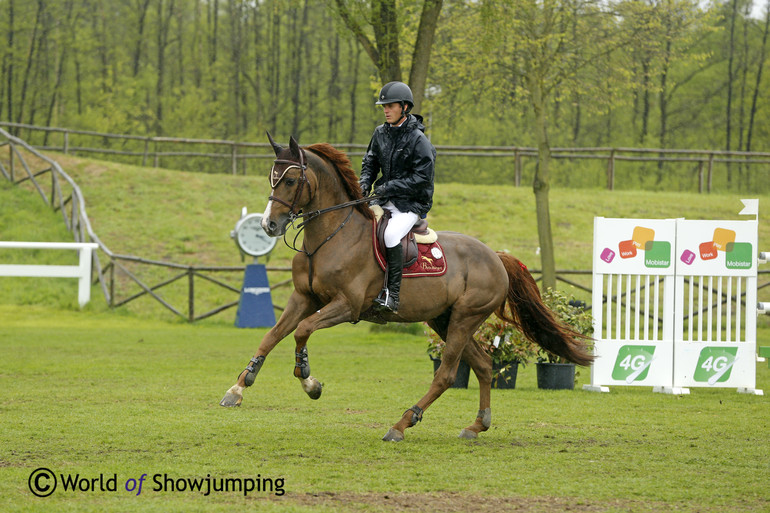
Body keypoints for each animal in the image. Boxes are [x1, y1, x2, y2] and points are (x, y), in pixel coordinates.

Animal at [219, 136, 592, 440]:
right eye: (272, 178)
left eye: (291, 180)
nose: (269, 224)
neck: (329, 236)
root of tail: (496, 257)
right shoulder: (303, 298)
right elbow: (271, 336)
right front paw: (238, 387)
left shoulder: (347, 306)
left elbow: (302, 331)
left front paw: (310, 382)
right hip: (444, 320)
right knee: (484, 365)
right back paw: (477, 424)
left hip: (464, 318)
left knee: (446, 374)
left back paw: (401, 424)